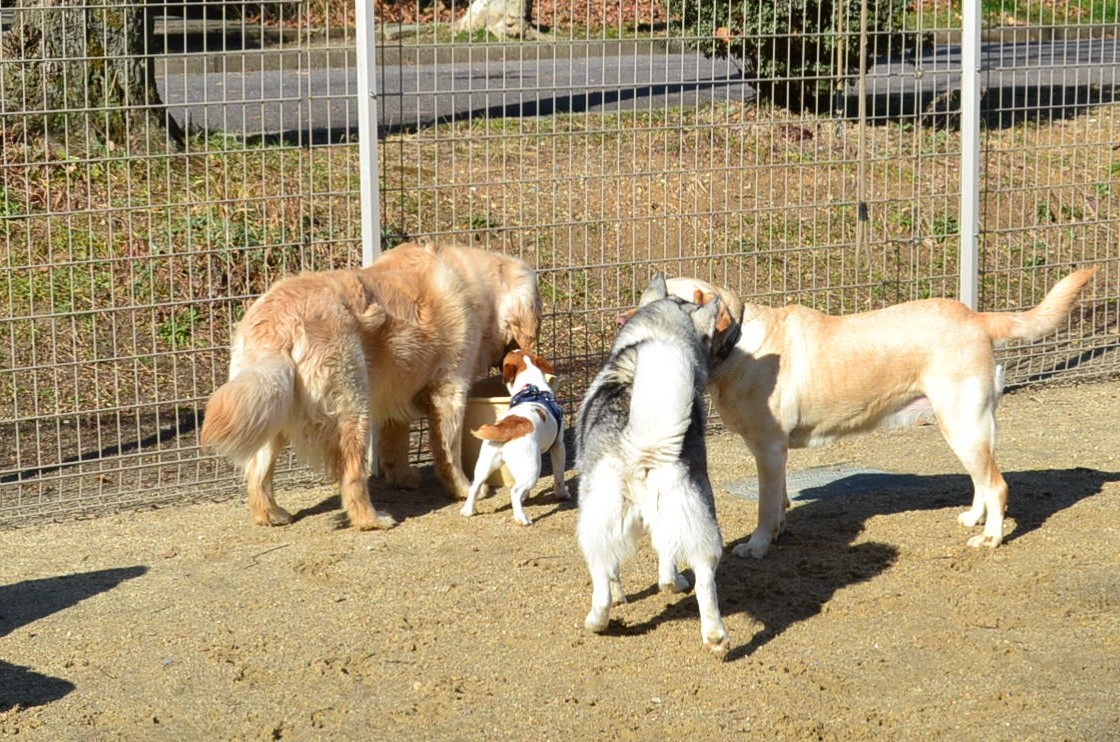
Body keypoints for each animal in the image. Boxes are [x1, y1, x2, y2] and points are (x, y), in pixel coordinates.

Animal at [459, 351, 568, 526]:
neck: (531, 388)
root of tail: (506, 428)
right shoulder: (558, 446)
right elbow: (559, 476)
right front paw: (563, 495)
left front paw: (527, 497)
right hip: (532, 468)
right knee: (515, 491)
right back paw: (521, 518)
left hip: (484, 464)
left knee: (475, 487)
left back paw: (468, 511)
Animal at [658, 269, 1097, 558]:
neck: (736, 346)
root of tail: (977, 316)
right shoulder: (774, 454)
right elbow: (779, 501)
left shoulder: (768, 449)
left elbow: (766, 509)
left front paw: (758, 545)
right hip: (967, 425)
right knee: (982, 480)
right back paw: (974, 518)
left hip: (962, 423)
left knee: (997, 485)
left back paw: (990, 538)